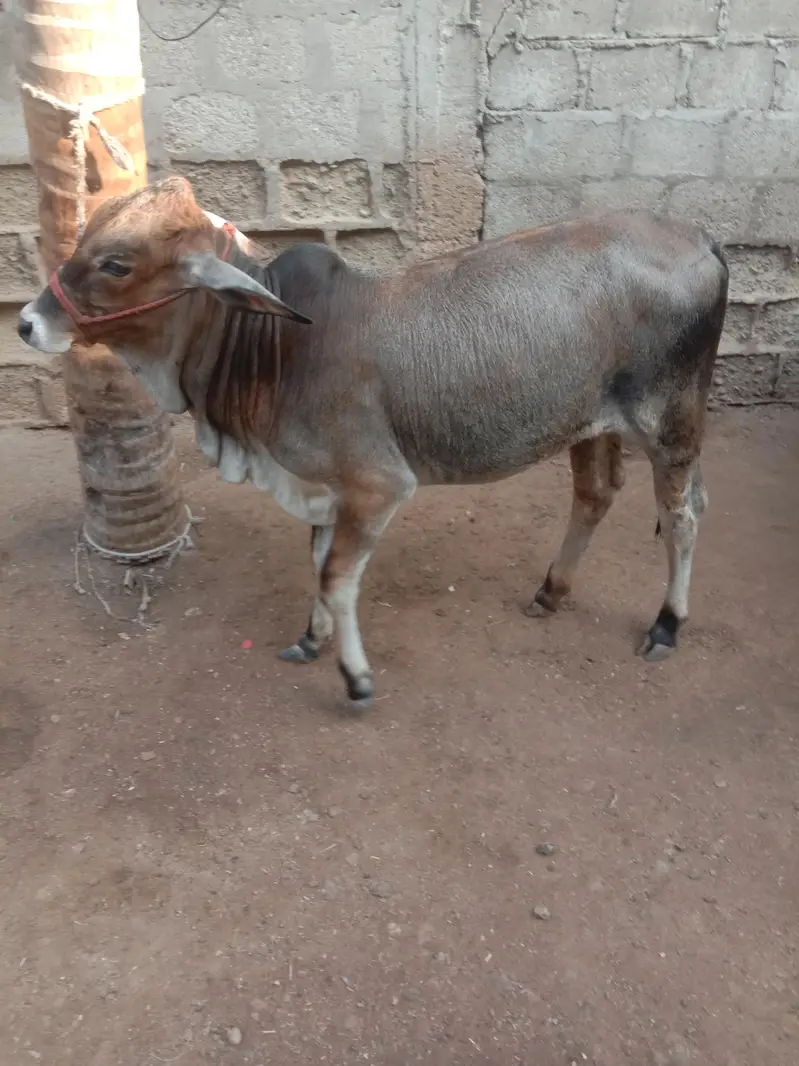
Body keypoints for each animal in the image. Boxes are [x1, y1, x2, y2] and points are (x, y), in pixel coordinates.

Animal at [18, 176, 728, 707]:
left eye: (116, 263)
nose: (26, 322)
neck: (279, 345)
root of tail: (701, 235)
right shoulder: (325, 488)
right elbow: (318, 563)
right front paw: (311, 638)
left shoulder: (378, 486)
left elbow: (337, 577)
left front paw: (355, 677)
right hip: (590, 424)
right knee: (597, 495)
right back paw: (552, 591)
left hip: (670, 422)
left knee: (684, 514)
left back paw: (667, 623)